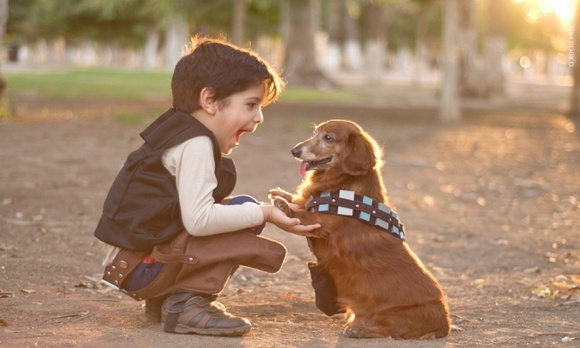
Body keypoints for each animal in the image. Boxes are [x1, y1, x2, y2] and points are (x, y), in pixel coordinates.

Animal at [270, 119, 450, 340]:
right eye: (314, 133)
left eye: (328, 138)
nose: (294, 151)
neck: (343, 187)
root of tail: (445, 324)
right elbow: (300, 201)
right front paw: (282, 194)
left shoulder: (319, 223)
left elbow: (301, 214)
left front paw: (283, 205)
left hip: (394, 314)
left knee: (387, 330)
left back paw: (358, 329)